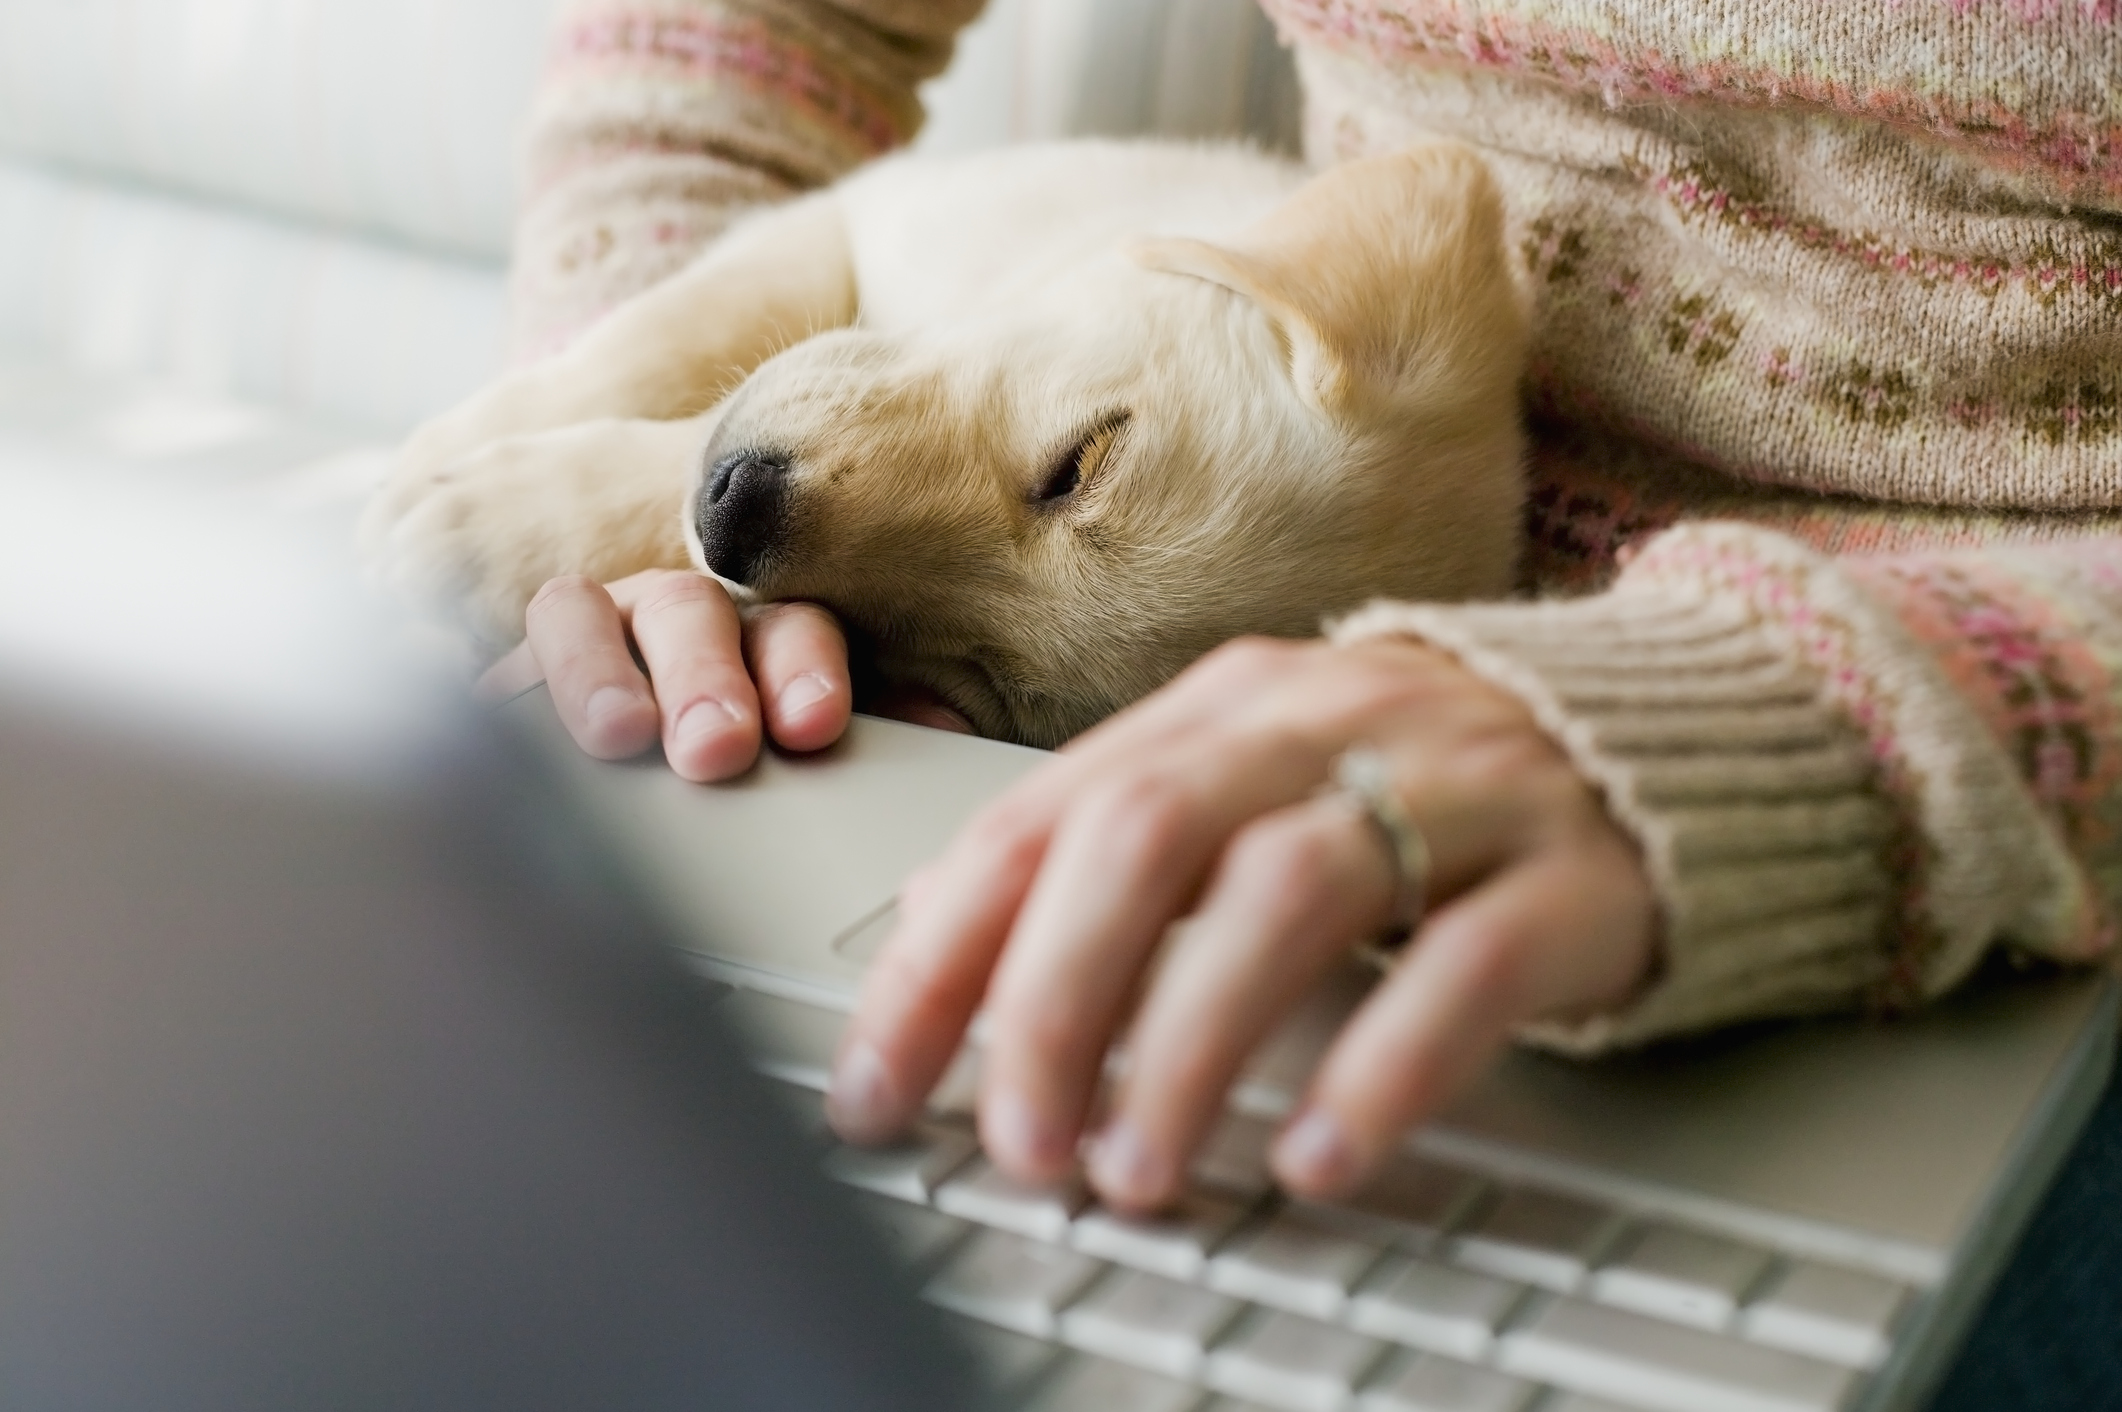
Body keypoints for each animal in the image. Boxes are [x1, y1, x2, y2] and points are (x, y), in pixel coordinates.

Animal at [360, 138, 1527, 743]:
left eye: (983, 683)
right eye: (1079, 462)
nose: (732, 515)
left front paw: (479, 535)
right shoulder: (859, 212)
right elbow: (653, 342)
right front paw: (412, 464)